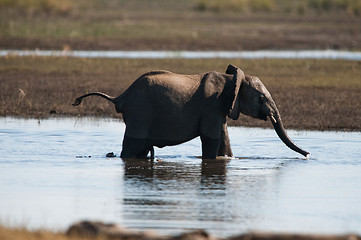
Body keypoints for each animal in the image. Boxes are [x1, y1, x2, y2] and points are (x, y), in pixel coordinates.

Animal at [71, 64, 308, 160]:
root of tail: (121, 97)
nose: (308, 154)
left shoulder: (220, 109)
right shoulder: (212, 105)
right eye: (261, 98)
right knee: (131, 148)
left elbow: (223, 139)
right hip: (140, 114)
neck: (232, 80)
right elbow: (211, 139)